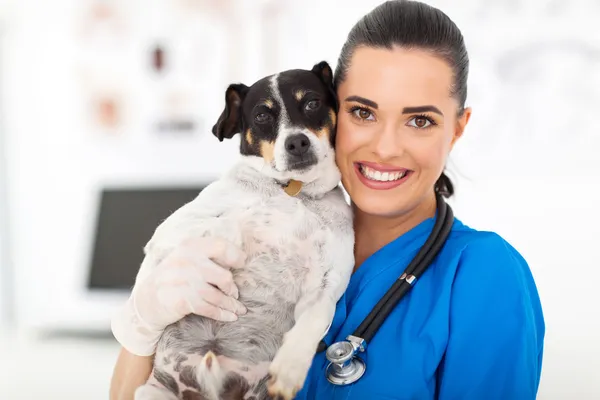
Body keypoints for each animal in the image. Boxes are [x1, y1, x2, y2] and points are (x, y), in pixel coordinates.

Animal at [133, 60, 356, 400]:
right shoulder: (171, 231)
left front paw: (290, 368)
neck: (296, 192)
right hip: (150, 392)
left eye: (312, 103)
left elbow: (317, 319)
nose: (297, 142)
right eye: (262, 115)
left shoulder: (327, 285)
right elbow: (229, 223)